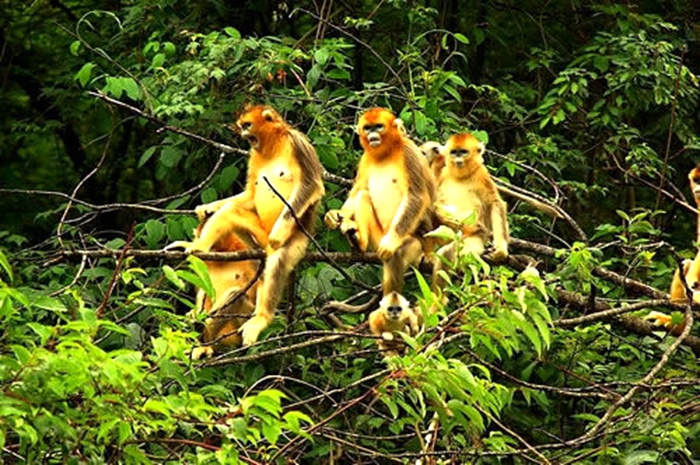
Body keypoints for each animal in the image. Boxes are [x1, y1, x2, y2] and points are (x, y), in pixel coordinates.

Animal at [183, 105, 326, 344]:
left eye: (247, 125)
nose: (243, 133)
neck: (273, 146)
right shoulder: (254, 155)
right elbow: (250, 194)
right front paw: (207, 208)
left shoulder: (298, 143)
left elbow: (310, 184)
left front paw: (278, 234)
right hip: (258, 235)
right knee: (230, 211)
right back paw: (200, 247)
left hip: (297, 236)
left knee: (277, 261)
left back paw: (261, 319)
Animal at [326, 107, 434, 292]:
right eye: (368, 128)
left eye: (378, 126)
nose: (372, 135)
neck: (386, 153)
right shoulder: (365, 158)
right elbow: (358, 190)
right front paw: (335, 215)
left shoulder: (408, 152)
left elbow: (416, 196)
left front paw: (391, 243)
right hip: (377, 238)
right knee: (363, 195)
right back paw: (358, 241)